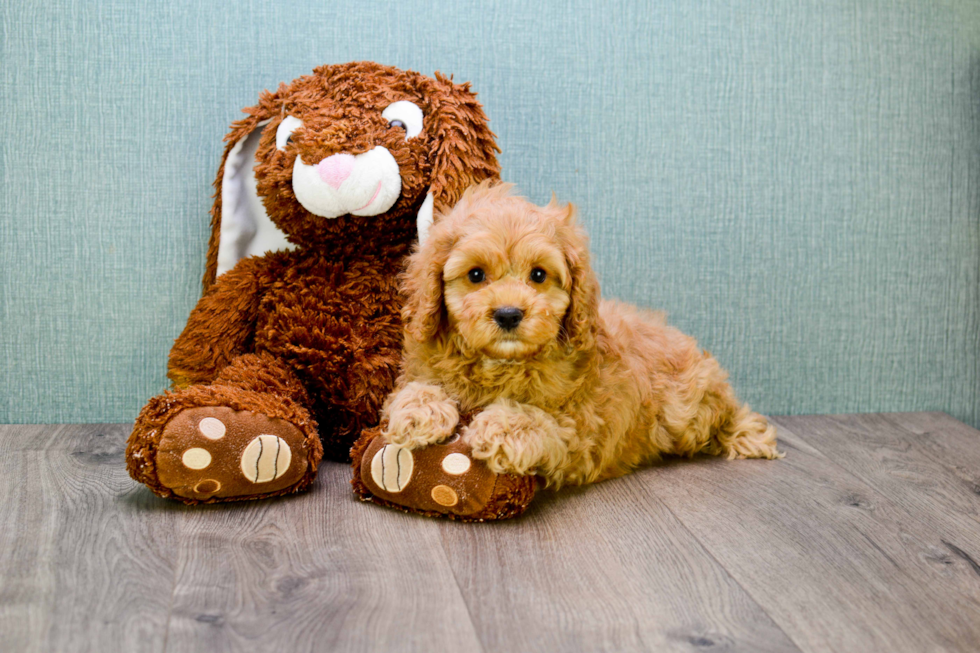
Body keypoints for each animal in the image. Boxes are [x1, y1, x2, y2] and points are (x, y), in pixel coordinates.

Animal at [382, 181, 780, 486]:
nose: (509, 314)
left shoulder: (580, 428)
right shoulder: (422, 362)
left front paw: (501, 427)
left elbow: (543, 420)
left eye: (538, 275)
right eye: (476, 275)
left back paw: (745, 434)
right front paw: (419, 412)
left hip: (687, 408)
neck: (500, 363)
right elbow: (415, 386)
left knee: (724, 415)